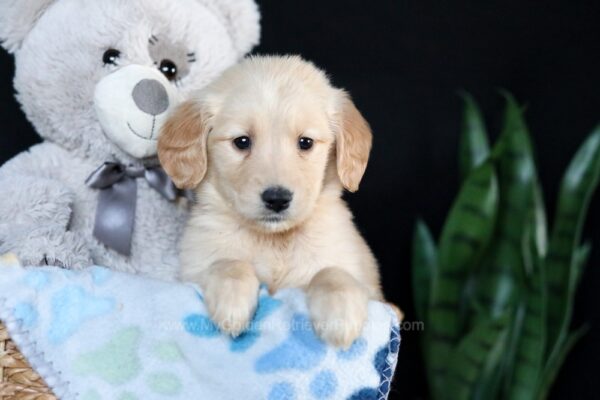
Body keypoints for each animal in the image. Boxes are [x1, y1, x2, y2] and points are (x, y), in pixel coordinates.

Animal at [159, 54, 394, 348]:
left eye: (305, 142)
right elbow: (228, 263)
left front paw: (340, 314)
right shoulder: (194, 268)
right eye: (242, 141)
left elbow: (332, 273)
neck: (274, 241)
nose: (277, 199)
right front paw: (232, 300)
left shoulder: (364, 281)